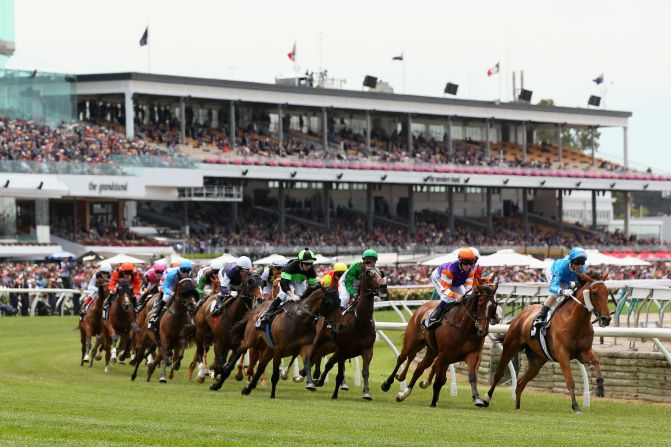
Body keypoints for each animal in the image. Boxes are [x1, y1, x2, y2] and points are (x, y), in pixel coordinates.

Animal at [312, 268, 386, 400]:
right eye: (370, 275)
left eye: (380, 273)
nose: (383, 285)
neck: (360, 321)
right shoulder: (343, 350)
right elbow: (330, 365)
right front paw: (320, 381)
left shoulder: (367, 350)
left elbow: (365, 371)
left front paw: (366, 392)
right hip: (320, 341)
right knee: (316, 355)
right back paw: (311, 379)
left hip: (332, 347)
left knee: (323, 357)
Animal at [394, 280, 498, 410]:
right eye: (480, 303)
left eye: (493, 305)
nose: (483, 331)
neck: (463, 327)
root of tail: (421, 308)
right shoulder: (444, 355)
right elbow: (439, 380)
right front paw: (433, 402)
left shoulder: (472, 354)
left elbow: (471, 376)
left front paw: (477, 399)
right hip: (412, 343)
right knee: (402, 358)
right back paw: (387, 384)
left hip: (431, 351)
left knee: (419, 367)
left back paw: (404, 393)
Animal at [484, 272, 616, 414]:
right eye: (595, 293)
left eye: (607, 292)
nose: (606, 319)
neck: (575, 321)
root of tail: (522, 315)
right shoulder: (562, 354)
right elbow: (570, 381)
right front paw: (575, 406)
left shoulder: (583, 352)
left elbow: (596, 361)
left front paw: (600, 389)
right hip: (510, 346)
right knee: (499, 374)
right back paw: (485, 399)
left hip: (537, 360)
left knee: (520, 383)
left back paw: (517, 407)